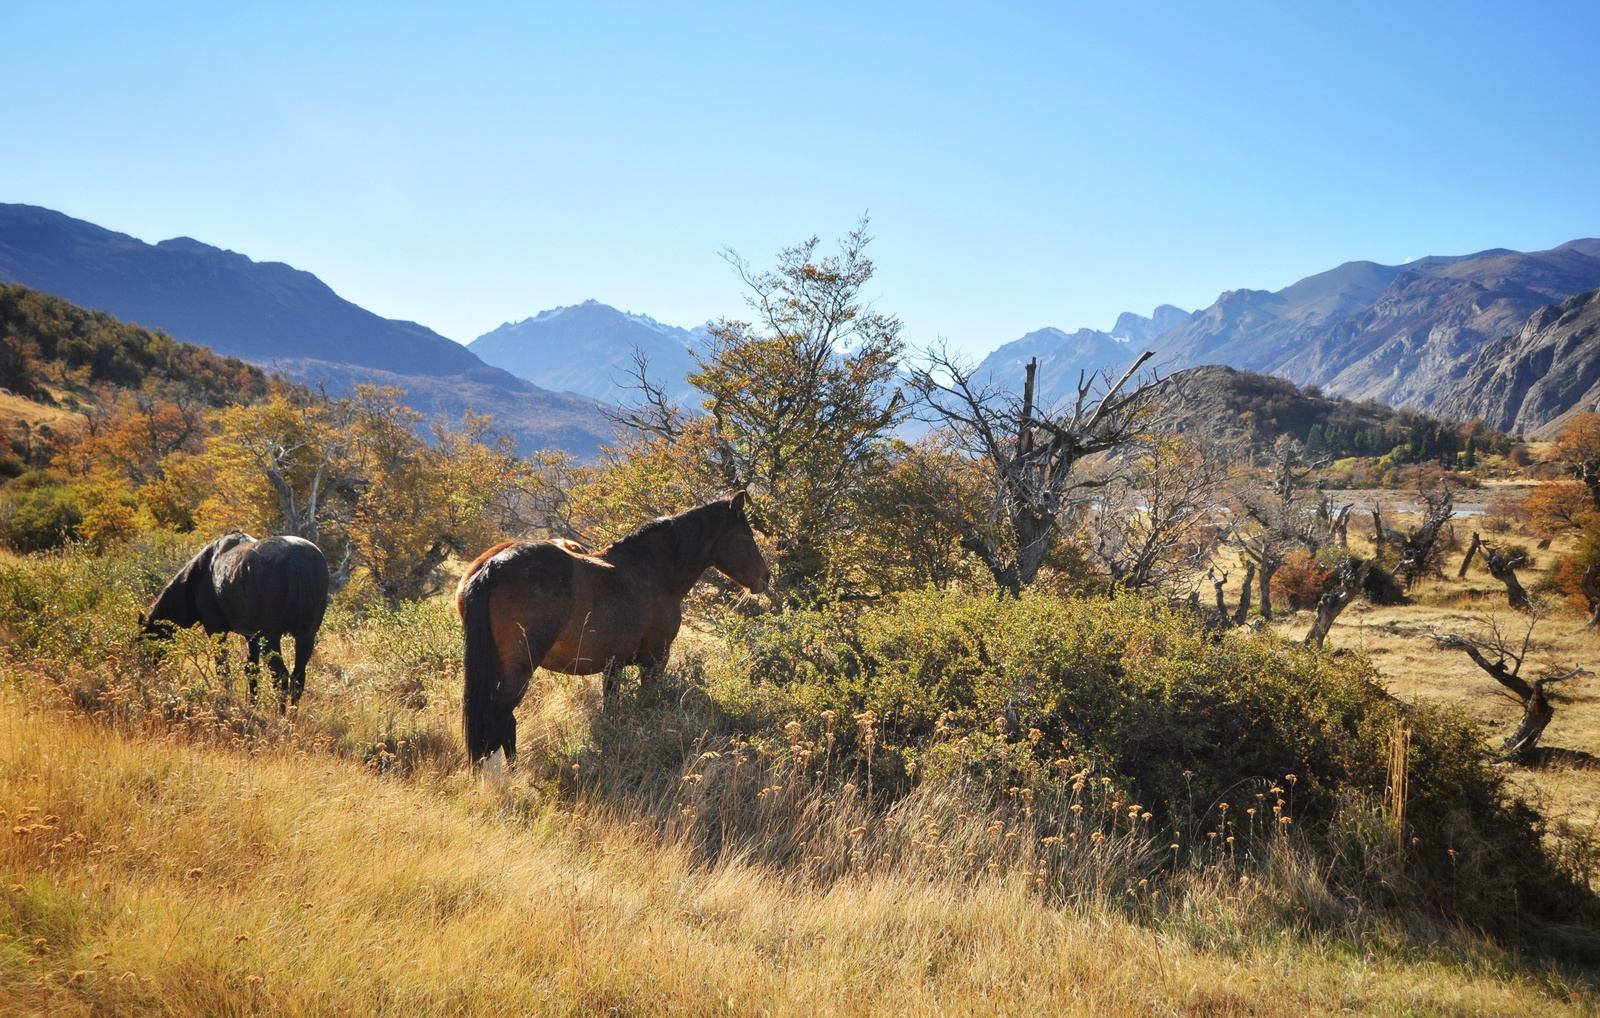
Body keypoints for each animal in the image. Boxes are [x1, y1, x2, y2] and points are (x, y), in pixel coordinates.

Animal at [143, 531, 330, 711]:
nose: (149, 672)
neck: (198, 576)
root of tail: (299, 563)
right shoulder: (252, 637)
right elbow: (251, 670)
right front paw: (253, 704)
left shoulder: (216, 629)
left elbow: (223, 669)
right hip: (306, 636)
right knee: (298, 678)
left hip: (271, 637)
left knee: (281, 676)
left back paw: (281, 715)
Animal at [456, 492, 770, 763]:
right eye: (747, 536)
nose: (764, 578)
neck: (652, 571)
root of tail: (493, 566)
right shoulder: (655, 661)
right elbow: (645, 704)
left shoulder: (613, 666)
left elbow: (610, 710)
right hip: (518, 669)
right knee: (499, 719)